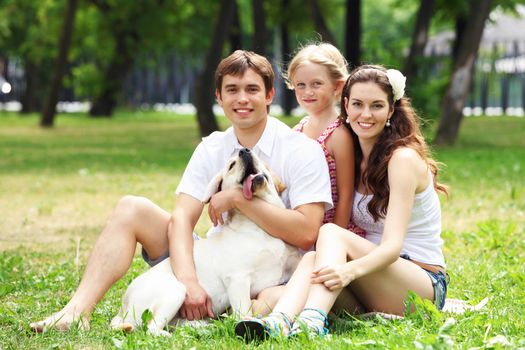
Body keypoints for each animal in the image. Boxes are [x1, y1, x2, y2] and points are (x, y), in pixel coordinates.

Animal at [110, 149, 298, 334]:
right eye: (231, 165)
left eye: (257, 157)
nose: (244, 151)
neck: (259, 227)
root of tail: (122, 310)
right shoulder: (238, 279)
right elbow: (244, 311)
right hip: (177, 289)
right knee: (152, 328)